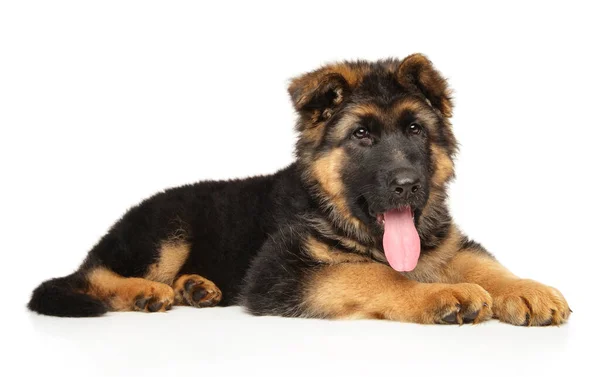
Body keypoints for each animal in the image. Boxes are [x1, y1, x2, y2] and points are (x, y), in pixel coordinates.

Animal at [29, 54, 572, 324]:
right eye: (361, 134)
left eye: (416, 130)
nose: (407, 185)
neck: (334, 209)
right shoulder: (283, 270)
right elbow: (375, 276)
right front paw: (443, 292)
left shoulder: (443, 241)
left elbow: (483, 263)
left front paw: (528, 290)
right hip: (165, 230)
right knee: (92, 275)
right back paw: (146, 291)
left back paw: (194, 287)